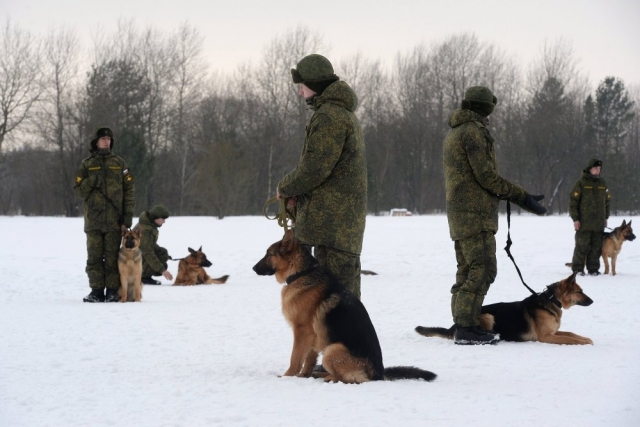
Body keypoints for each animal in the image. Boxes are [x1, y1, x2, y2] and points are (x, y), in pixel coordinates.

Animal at [252, 232, 438, 386]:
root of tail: (379, 375)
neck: (302, 273)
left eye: (269, 254)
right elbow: (309, 360)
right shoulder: (313, 336)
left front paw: (287, 377)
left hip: (333, 350)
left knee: (351, 379)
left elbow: (295, 358)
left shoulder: (302, 331)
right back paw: (320, 374)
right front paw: (303, 376)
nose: (253, 268)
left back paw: (328, 377)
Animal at [416, 272, 596, 346]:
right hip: (488, 316)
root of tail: (454, 325)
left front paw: (586, 338)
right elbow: (570, 339)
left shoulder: (553, 332)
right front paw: (583, 342)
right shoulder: (546, 337)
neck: (551, 300)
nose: (593, 301)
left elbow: (571, 334)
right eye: (580, 291)